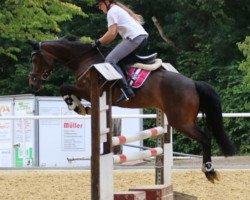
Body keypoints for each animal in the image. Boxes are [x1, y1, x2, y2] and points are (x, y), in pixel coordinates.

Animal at [28, 35, 235, 182]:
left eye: (35, 60)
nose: (33, 83)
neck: (85, 59)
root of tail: (193, 83)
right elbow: (66, 88)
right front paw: (80, 106)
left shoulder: (87, 89)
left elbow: (64, 87)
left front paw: (77, 106)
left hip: (181, 121)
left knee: (205, 138)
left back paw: (209, 170)